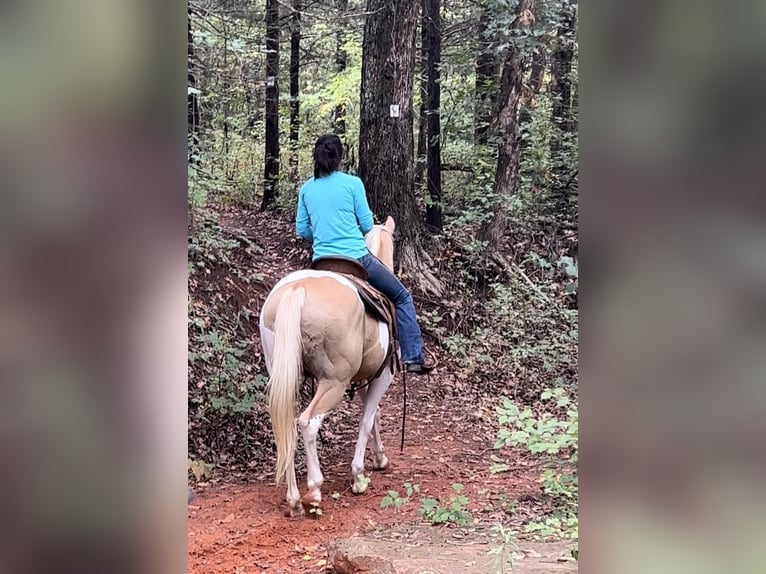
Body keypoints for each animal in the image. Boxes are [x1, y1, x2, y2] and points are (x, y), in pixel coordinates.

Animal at [260, 215, 400, 516]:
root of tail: (296, 289)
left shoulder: (367, 378)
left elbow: (374, 416)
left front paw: (379, 458)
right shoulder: (382, 376)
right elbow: (366, 420)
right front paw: (359, 476)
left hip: (285, 376)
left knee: (287, 426)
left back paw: (293, 499)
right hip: (334, 383)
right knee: (308, 423)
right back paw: (314, 489)